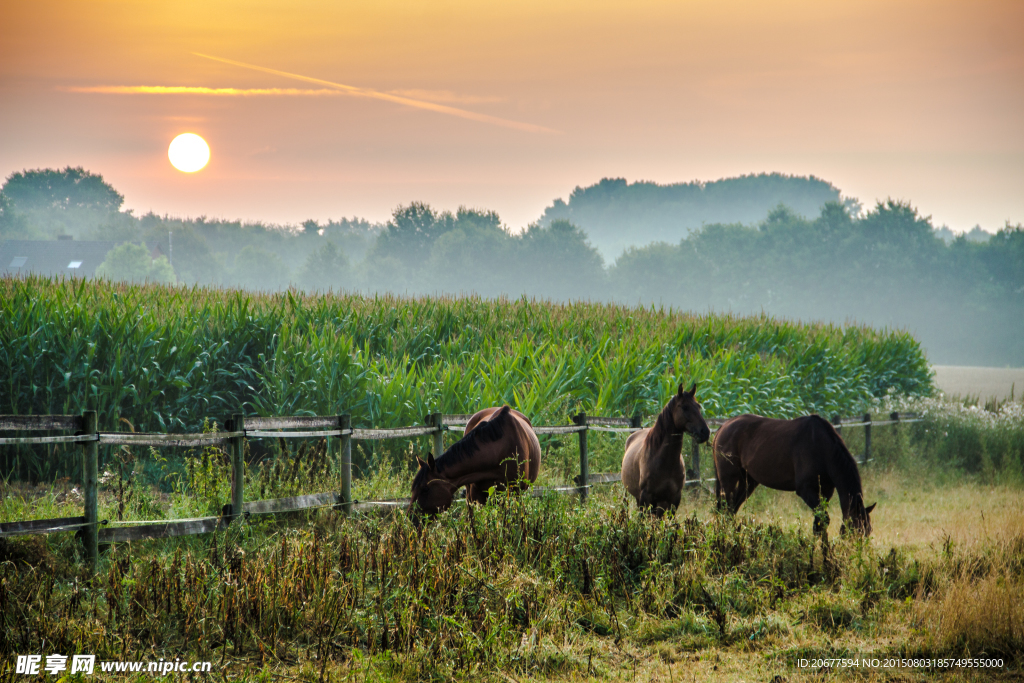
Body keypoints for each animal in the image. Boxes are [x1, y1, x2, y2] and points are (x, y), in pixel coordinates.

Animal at [614, 385, 712, 518]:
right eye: (685, 407)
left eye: (698, 406)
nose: (705, 432)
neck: (665, 462)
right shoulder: (646, 497)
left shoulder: (673, 499)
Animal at [716, 413, 876, 536]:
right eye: (855, 530)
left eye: (867, 532)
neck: (821, 447)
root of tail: (724, 426)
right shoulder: (806, 490)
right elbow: (822, 521)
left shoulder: (826, 491)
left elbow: (818, 525)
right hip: (728, 481)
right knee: (725, 509)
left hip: (748, 482)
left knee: (731, 510)